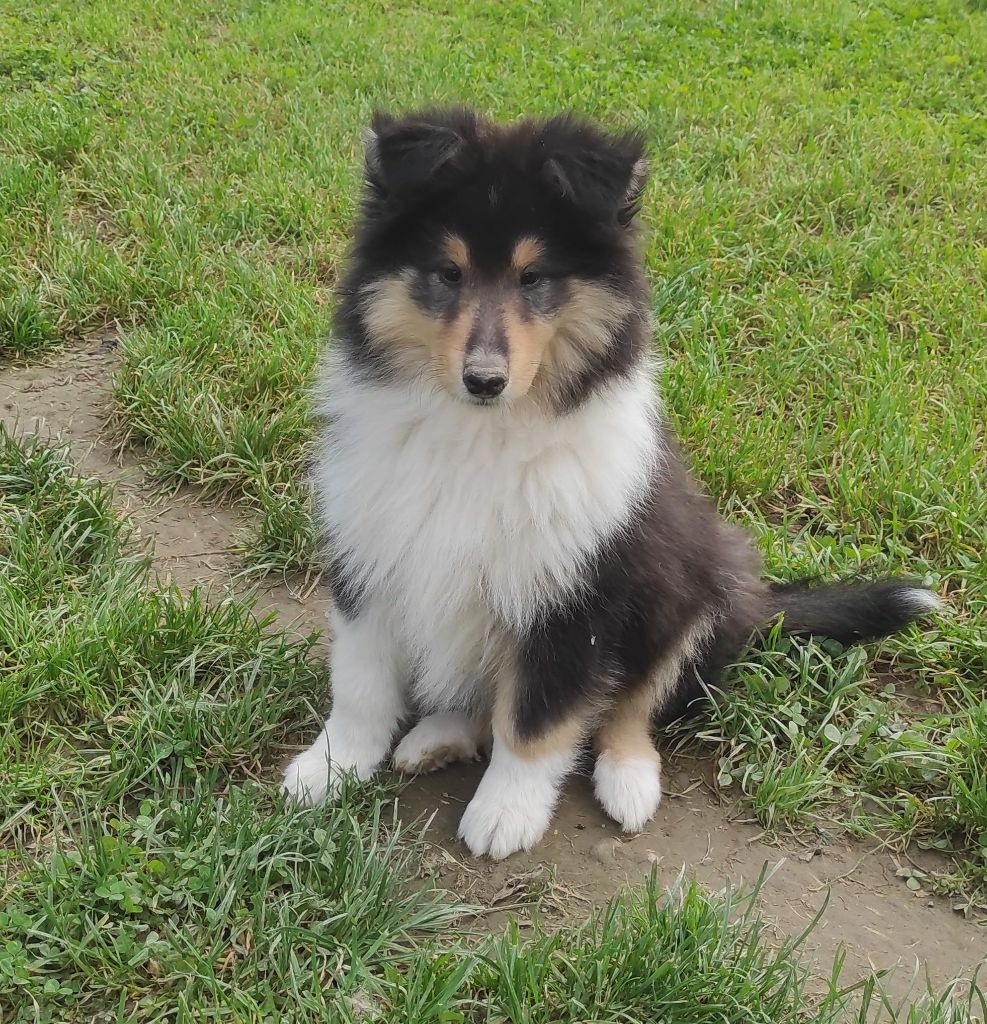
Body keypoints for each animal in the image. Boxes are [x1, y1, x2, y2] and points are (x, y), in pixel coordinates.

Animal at [282, 108, 941, 860]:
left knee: (630, 705)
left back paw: (627, 780)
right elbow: (361, 685)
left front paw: (504, 814)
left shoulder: (577, 598)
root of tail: (757, 601)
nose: (484, 380)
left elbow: (535, 718)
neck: (480, 435)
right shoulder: (370, 554)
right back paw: (438, 736)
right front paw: (329, 770)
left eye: (534, 277)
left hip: (692, 591)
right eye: (447, 273)